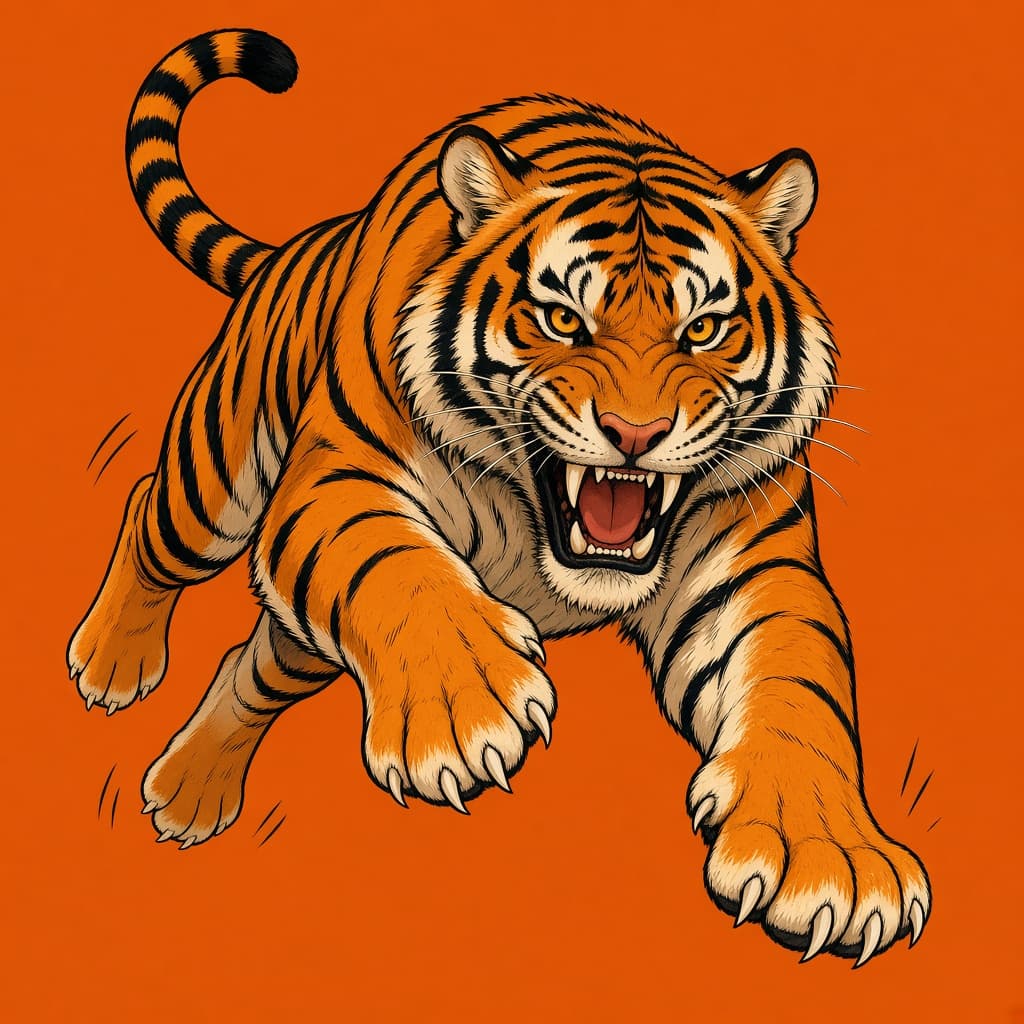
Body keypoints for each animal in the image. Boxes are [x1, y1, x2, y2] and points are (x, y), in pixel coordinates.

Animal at [68, 28, 930, 965]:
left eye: (703, 329)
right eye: (562, 321)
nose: (635, 432)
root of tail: (307, 240)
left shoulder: (754, 567)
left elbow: (800, 683)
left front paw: (829, 859)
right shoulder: (341, 477)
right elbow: (393, 566)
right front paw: (463, 706)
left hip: (300, 637)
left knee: (252, 665)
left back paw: (190, 793)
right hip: (215, 485)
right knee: (149, 516)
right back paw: (110, 665)